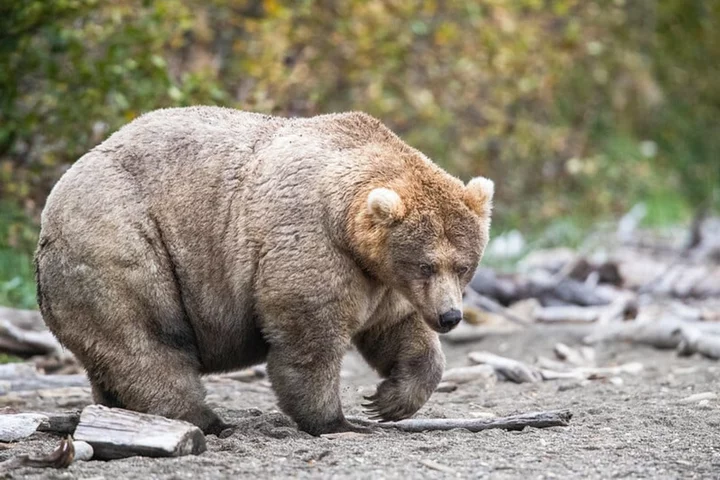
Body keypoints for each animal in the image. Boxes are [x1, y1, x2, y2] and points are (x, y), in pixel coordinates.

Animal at [35, 107, 496, 436]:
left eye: (464, 265)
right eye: (426, 264)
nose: (450, 316)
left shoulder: (382, 280)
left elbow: (397, 330)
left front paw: (388, 400)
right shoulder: (311, 242)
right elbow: (309, 336)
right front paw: (337, 420)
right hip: (123, 244)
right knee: (147, 340)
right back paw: (205, 420)